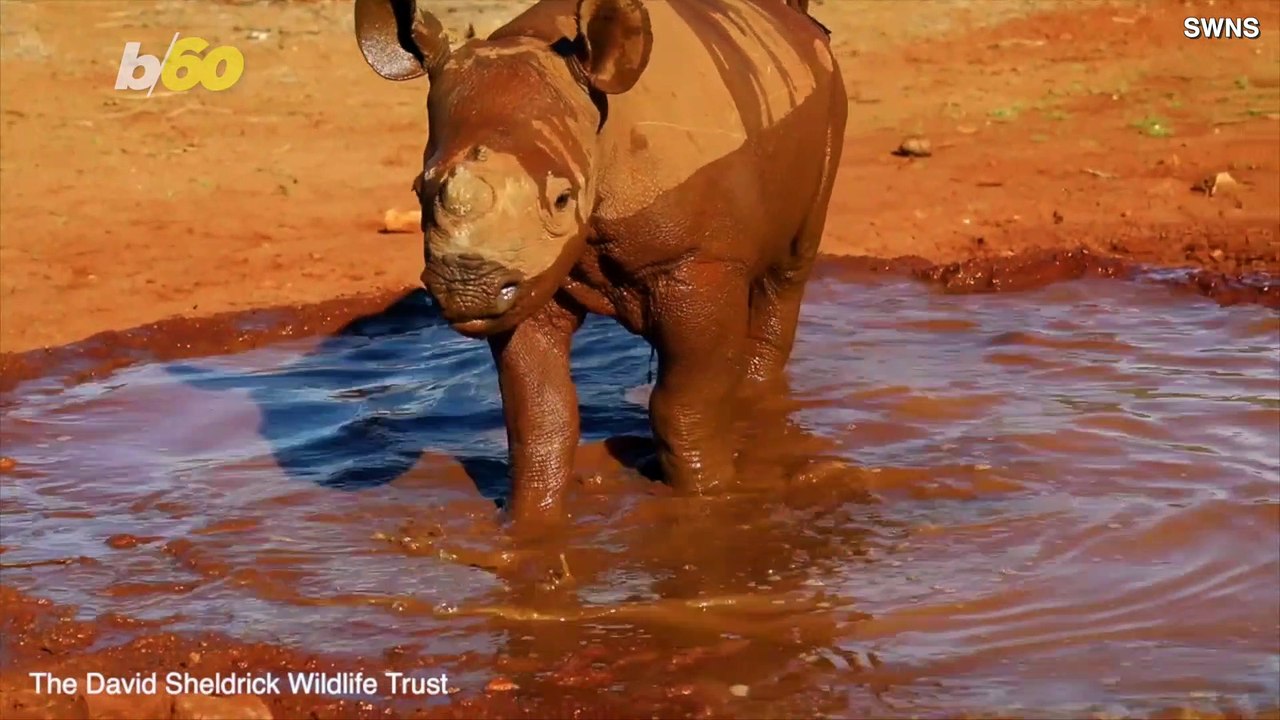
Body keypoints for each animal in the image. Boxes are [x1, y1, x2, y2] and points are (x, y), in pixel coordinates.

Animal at [353, 0, 847, 526]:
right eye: (418, 191)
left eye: (563, 198)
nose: (468, 288)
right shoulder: (530, 277)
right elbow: (541, 416)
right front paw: (527, 526)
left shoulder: (697, 262)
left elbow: (684, 406)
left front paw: (708, 502)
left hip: (826, 99)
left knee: (790, 269)